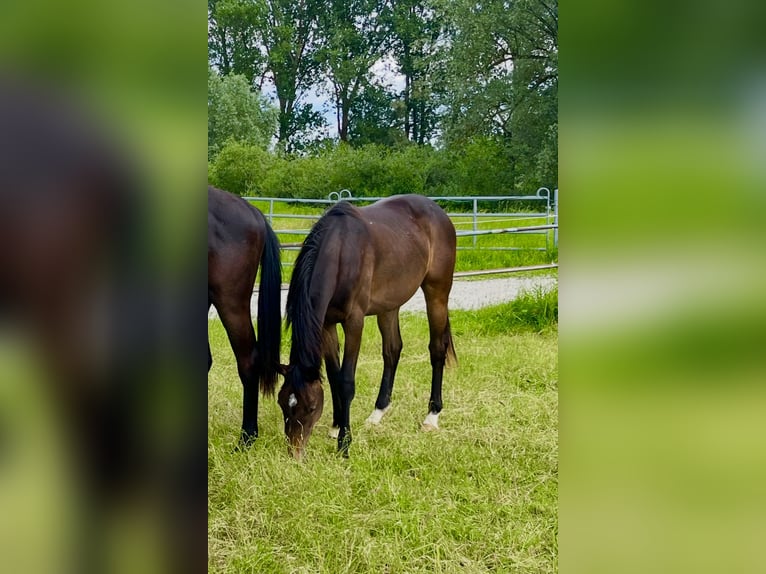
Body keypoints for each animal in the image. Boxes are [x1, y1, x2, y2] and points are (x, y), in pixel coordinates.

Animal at [280, 196, 456, 462]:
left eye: (310, 407)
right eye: (282, 403)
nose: (295, 453)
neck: (341, 253)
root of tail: (438, 212)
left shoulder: (354, 322)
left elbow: (346, 381)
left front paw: (344, 444)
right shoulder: (327, 324)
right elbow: (334, 376)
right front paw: (336, 426)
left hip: (437, 293)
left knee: (437, 350)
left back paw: (431, 416)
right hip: (389, 305)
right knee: (392, 350)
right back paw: (377, 413)